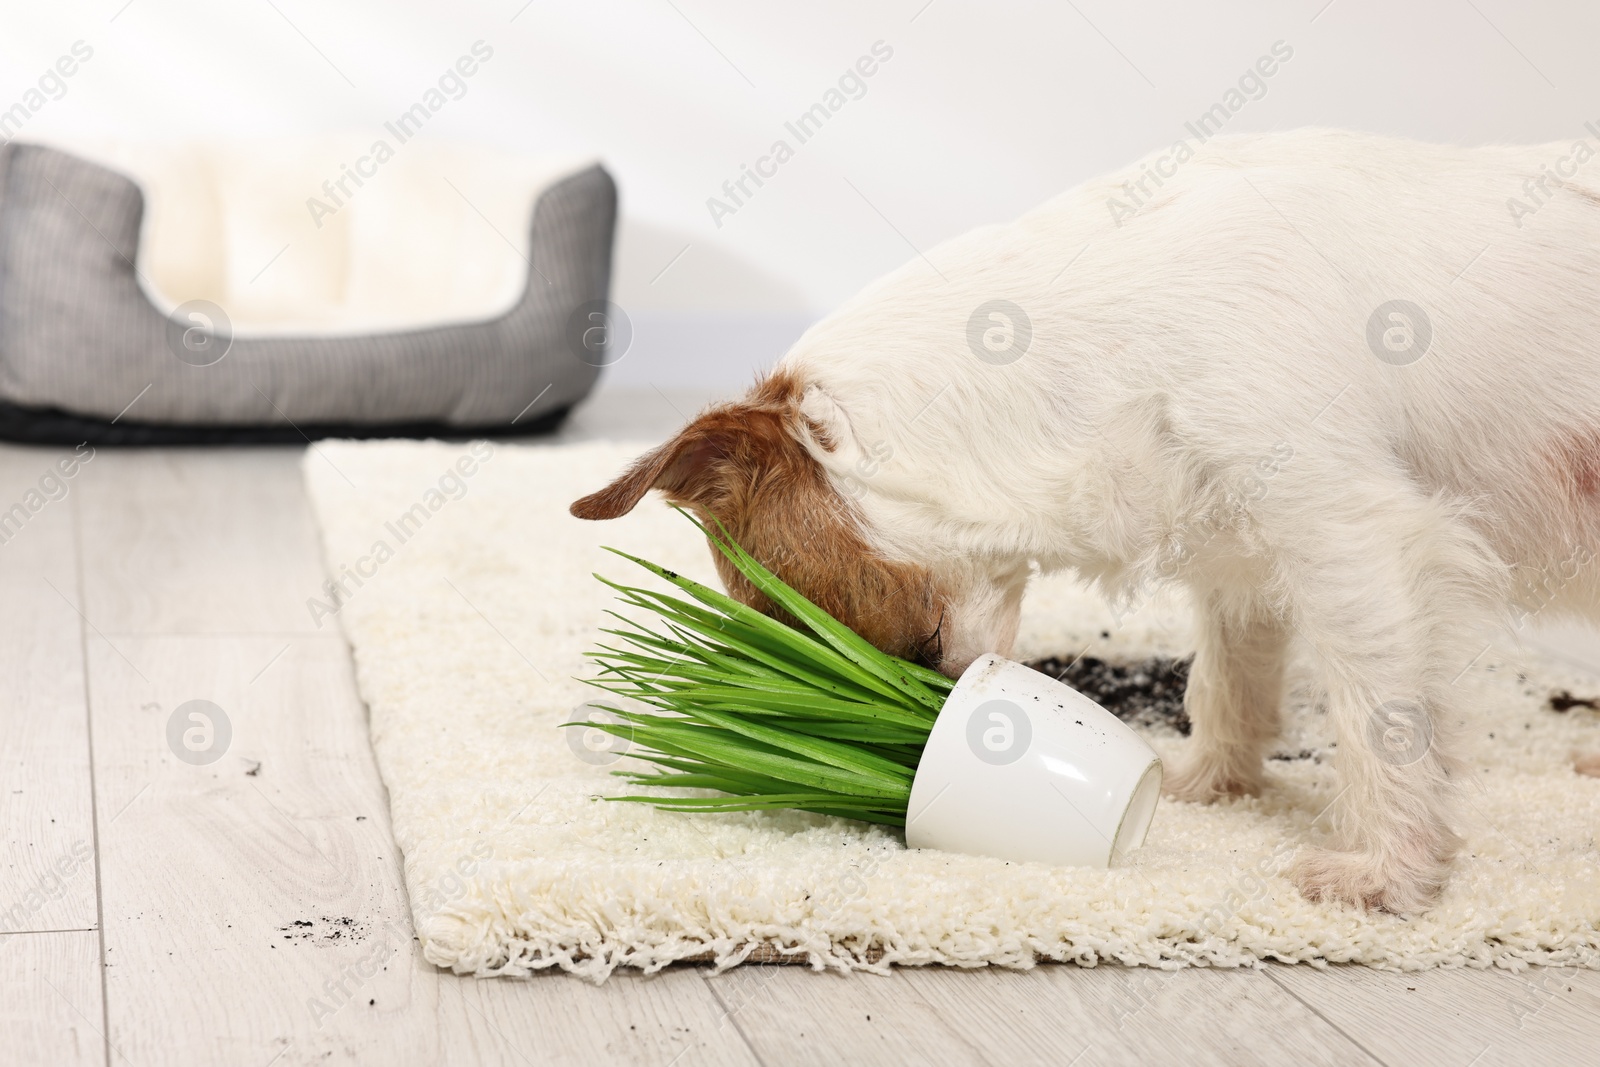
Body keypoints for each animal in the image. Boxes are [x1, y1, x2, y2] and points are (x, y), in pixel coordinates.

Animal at [576, 129, 1600, 915]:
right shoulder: (1240, 554)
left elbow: (1382, 719)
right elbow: (1230, 682)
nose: (914, 715)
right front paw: (1212, 784)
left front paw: (1387, 873)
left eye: (793, 618)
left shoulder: (1354, 543)